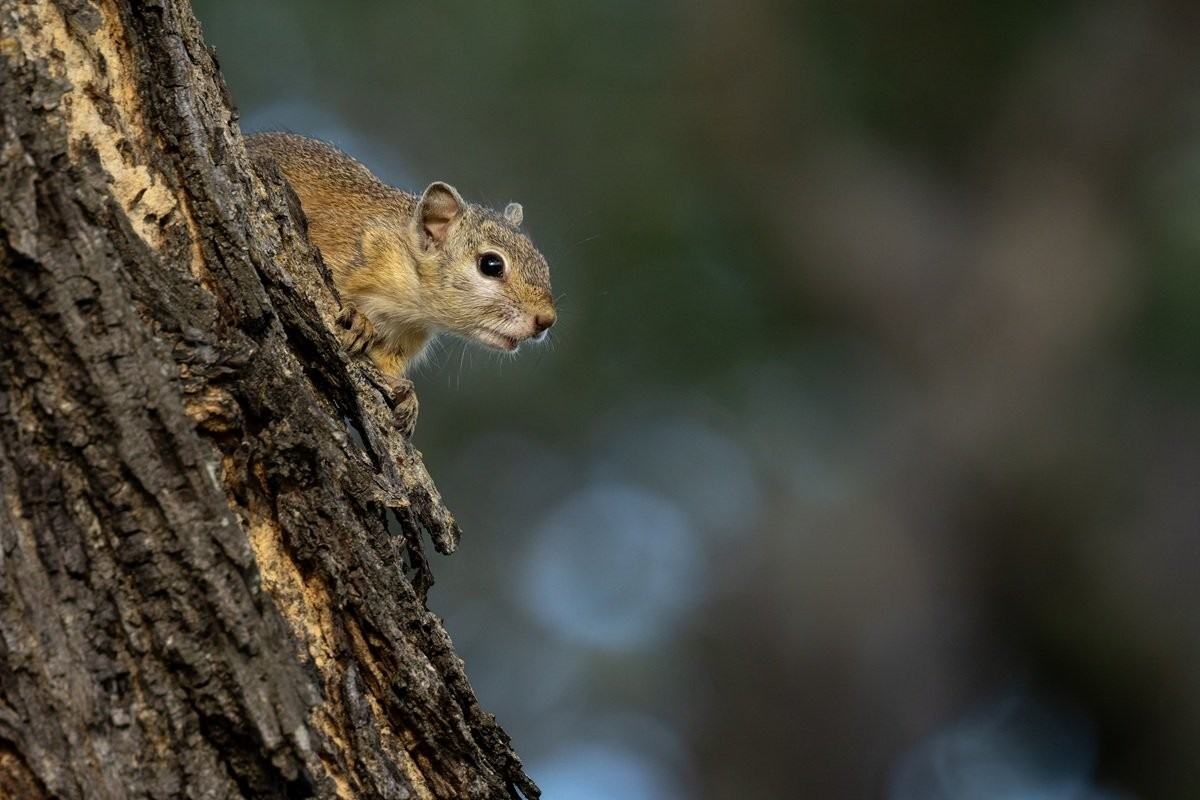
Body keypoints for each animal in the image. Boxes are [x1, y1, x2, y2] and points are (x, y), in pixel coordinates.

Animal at [246, 133, 556, 388]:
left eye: (544, 263)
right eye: (491, 265)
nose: (546, 320)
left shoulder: (406, 337)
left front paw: (407, 399)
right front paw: (358, 320)